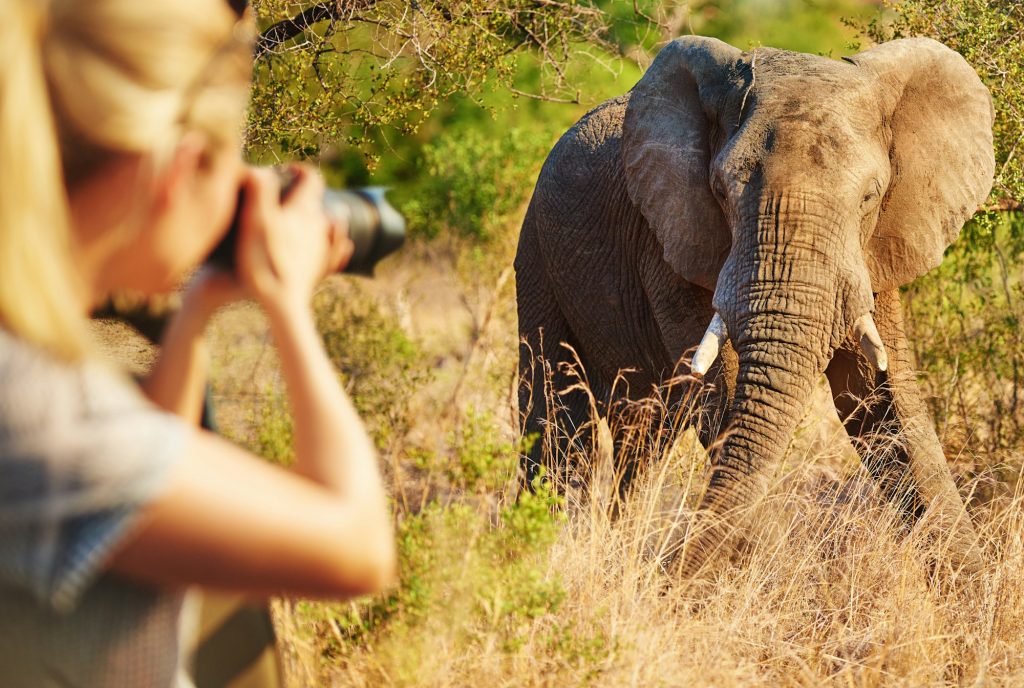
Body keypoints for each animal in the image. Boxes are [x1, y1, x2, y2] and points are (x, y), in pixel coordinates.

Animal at [516, 34, 995, 577]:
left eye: (870, 197)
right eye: (720, 191)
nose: (667, 573)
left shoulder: (876, 248)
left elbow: (879, 400)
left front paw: (972, 585)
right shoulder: (671, 238)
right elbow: (723, 395)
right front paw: (773, 569)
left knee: (641, 433)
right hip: (537, 252)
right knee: (556, 420)